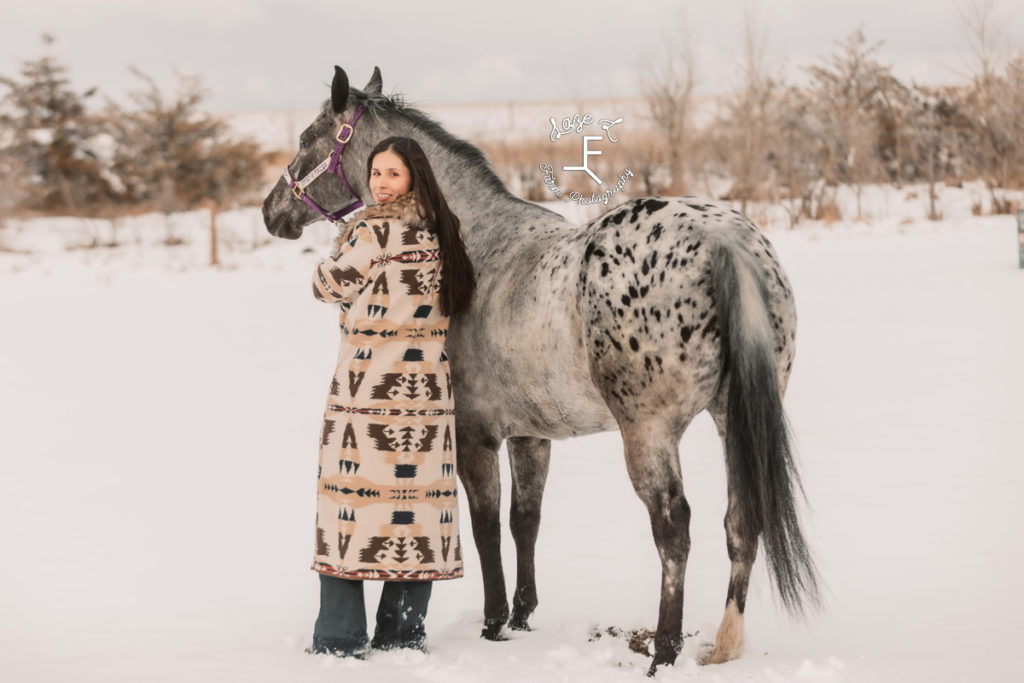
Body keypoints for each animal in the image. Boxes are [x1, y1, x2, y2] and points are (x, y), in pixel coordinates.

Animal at [262, 66, 815, 675]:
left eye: (307, 137)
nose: (271, 211)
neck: (480, 244)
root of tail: (723, 240)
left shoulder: (475, 435)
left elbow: (485, 526)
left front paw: (493, 622)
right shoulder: (531, 434)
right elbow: (526, 519)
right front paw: (524, 616)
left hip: (648, 432)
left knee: (673, 529)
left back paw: (665, 650)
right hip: (729, 419)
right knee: (742, 521)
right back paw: (723, 645)